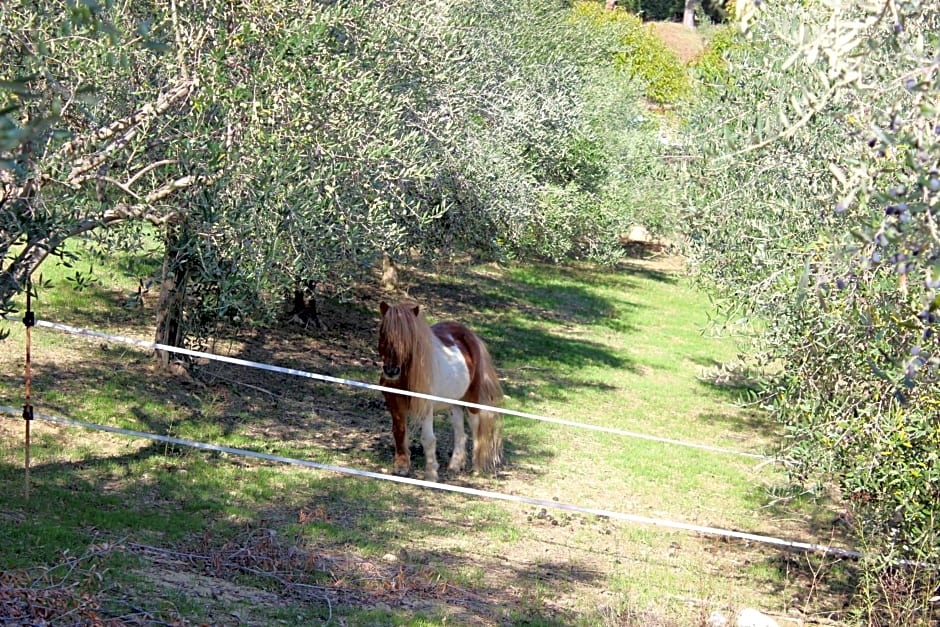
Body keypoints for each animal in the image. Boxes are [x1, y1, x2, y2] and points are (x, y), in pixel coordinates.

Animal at [378, 302, 504, 484]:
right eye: (383, 332)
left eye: (409, 338)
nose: (391, 371)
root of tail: (470, 336)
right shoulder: (394, 404)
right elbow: (399, 432)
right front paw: (401, 467)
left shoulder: (426, 408)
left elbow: (428, 439)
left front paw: (431, 474)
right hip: (454, 403)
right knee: (460, 432)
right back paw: (455, 466)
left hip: (471, 399)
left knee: (475, 427)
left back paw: (476, 468)